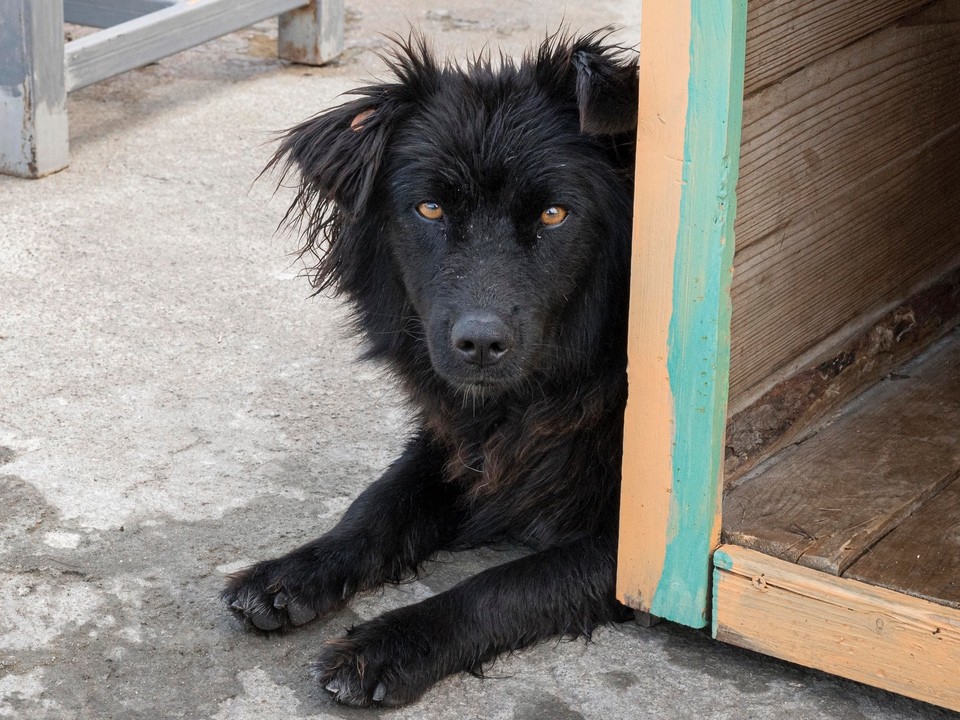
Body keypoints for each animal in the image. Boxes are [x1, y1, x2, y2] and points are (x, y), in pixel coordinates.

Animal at [224, 31, 636, 704]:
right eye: (430, 209)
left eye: (554, 215)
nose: (481, 343)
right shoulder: (455, 443)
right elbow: (377, 505)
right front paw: (297, 570)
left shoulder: (645, 551)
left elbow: (498, 587)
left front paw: (386, 647)